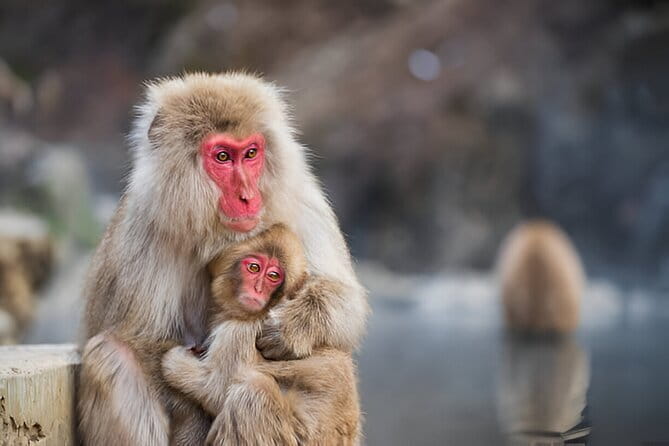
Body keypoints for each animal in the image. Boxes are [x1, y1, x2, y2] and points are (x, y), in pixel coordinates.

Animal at [162, 223, 361, 446]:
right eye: (254, 268)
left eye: (273, 276)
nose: (257, 289)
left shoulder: (240, 331)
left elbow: (215, 390)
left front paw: (174, 361)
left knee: (252, 393)